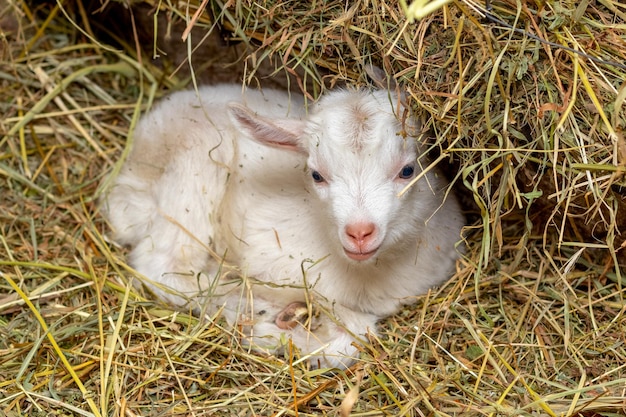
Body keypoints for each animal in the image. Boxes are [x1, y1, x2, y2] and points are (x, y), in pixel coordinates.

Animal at [102, 83, 464, 368]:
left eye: (407, 170)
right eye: (316, 175)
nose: (360, 233)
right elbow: (354, 337)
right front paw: (273, 328)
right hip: (194, 165)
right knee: (166, 267)